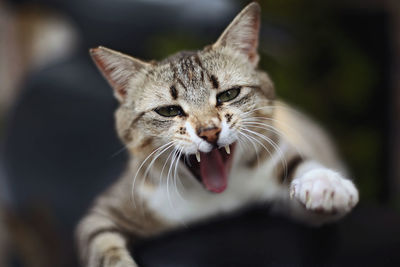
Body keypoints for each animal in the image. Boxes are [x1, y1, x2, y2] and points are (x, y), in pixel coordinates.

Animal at [76, 2, 360, 267]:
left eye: (228, 94)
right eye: (169, 110)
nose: (210, 131)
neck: (214, 199)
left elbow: (305, 191)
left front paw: (325, 184)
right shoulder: (106, 211)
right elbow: (102, 242)